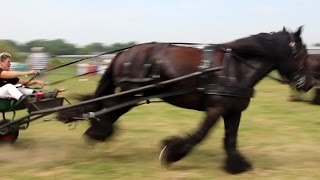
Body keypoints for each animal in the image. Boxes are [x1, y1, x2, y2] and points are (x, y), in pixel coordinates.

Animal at [57, 26, 312, 174]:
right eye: (302, 54)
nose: (308, 83)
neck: (236, 68)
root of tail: (124, 53)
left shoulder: (233, 110)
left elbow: (230, 140)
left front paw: (237, 165)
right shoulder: (216, 108)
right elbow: (200, 135)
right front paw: (170, 152)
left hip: (133, 95)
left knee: (106, 112)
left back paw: (96, 133)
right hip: (130, 93)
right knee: (107, 110)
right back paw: (95, 134)